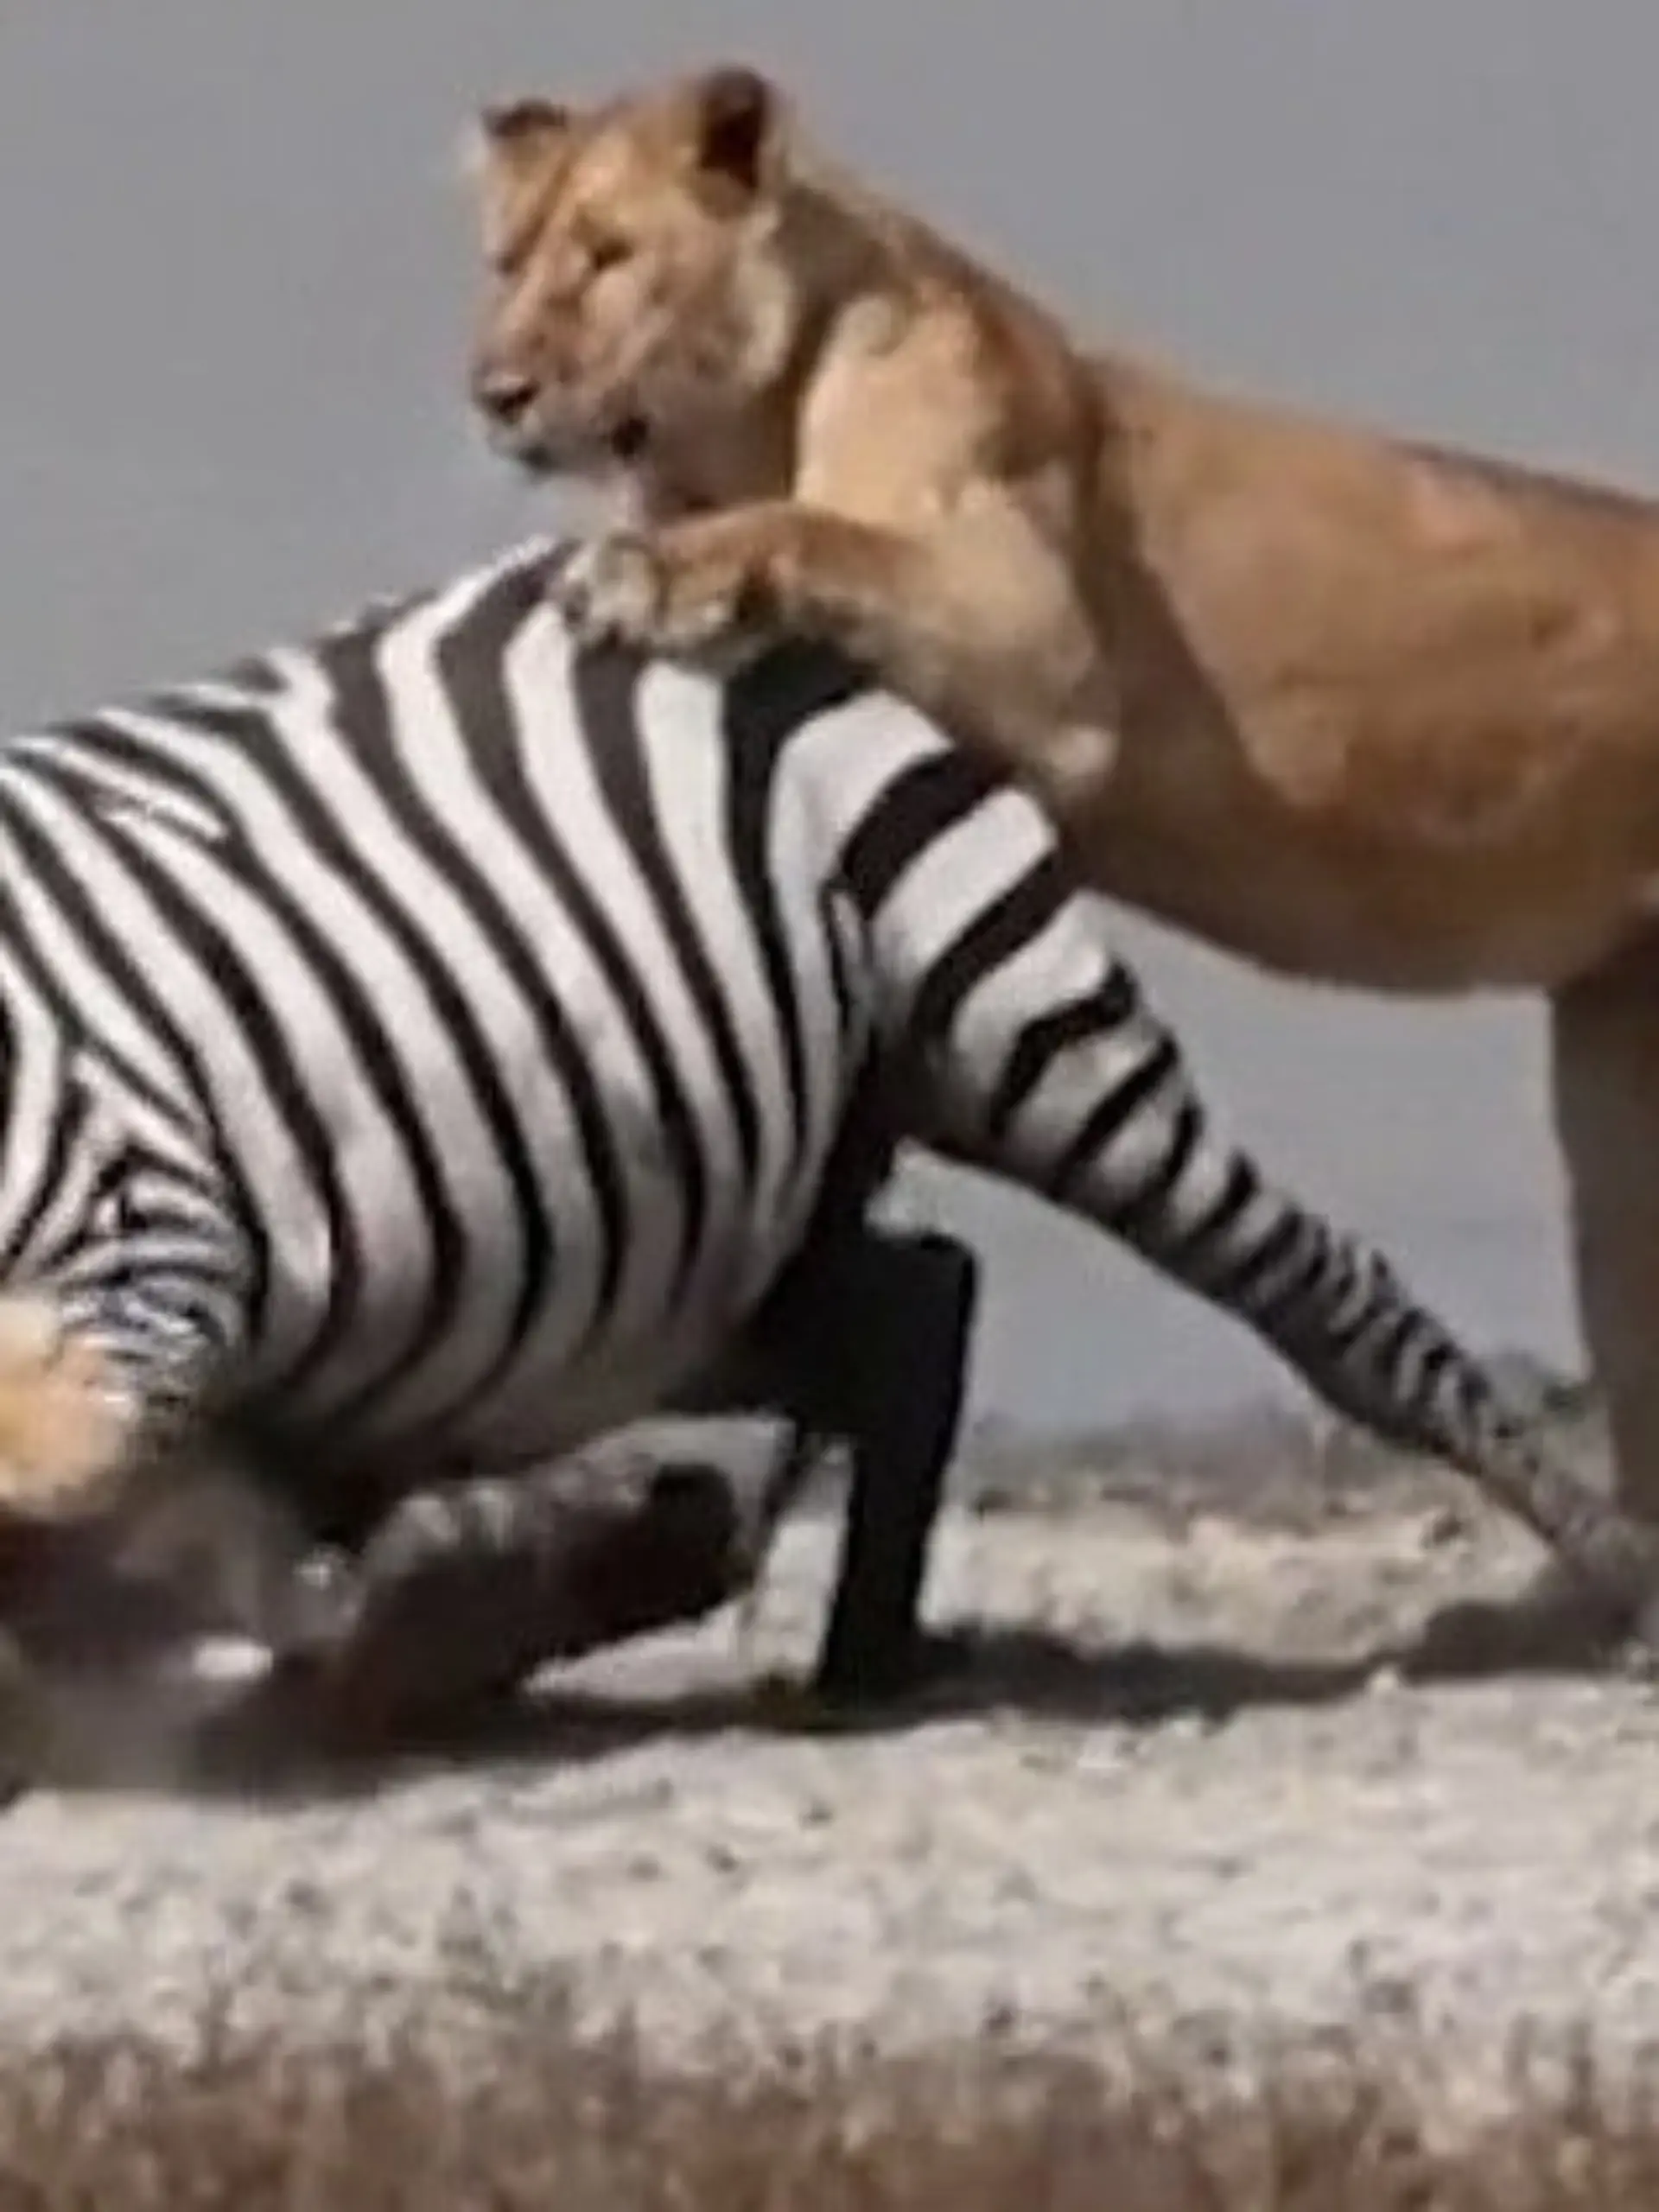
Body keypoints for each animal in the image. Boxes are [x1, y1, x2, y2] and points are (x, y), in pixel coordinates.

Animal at [0, 526, 1649, 1749]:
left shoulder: (148, 1222)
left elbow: (104, 1508)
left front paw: (419, 1610)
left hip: (1002, 1017)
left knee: (1321, 1291)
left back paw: (1608, 1569)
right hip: (677, 1244)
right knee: (915, 1302)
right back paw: (837, 1646)